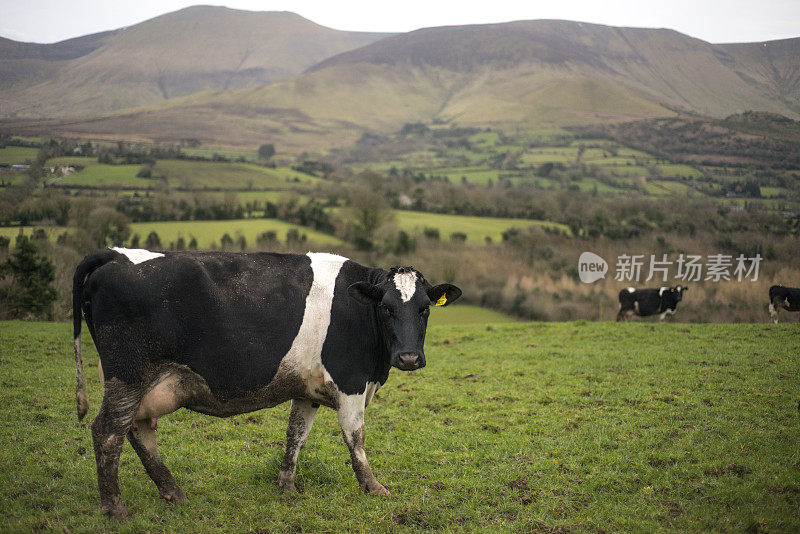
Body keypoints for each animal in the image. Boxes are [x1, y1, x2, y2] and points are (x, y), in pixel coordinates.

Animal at [75, 249, 462, 520]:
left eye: (425, 308)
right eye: (386, 308)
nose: (409, 358)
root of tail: (115, 254)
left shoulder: (307, 391)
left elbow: (296, 436)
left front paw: (287, 487)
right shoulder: (350, 382)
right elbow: (356, 440)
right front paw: (374, 488)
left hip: (138, 384)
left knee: (138, 431)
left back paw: (173, 492)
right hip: (128, 375)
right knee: (107, 432)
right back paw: (115, 508)